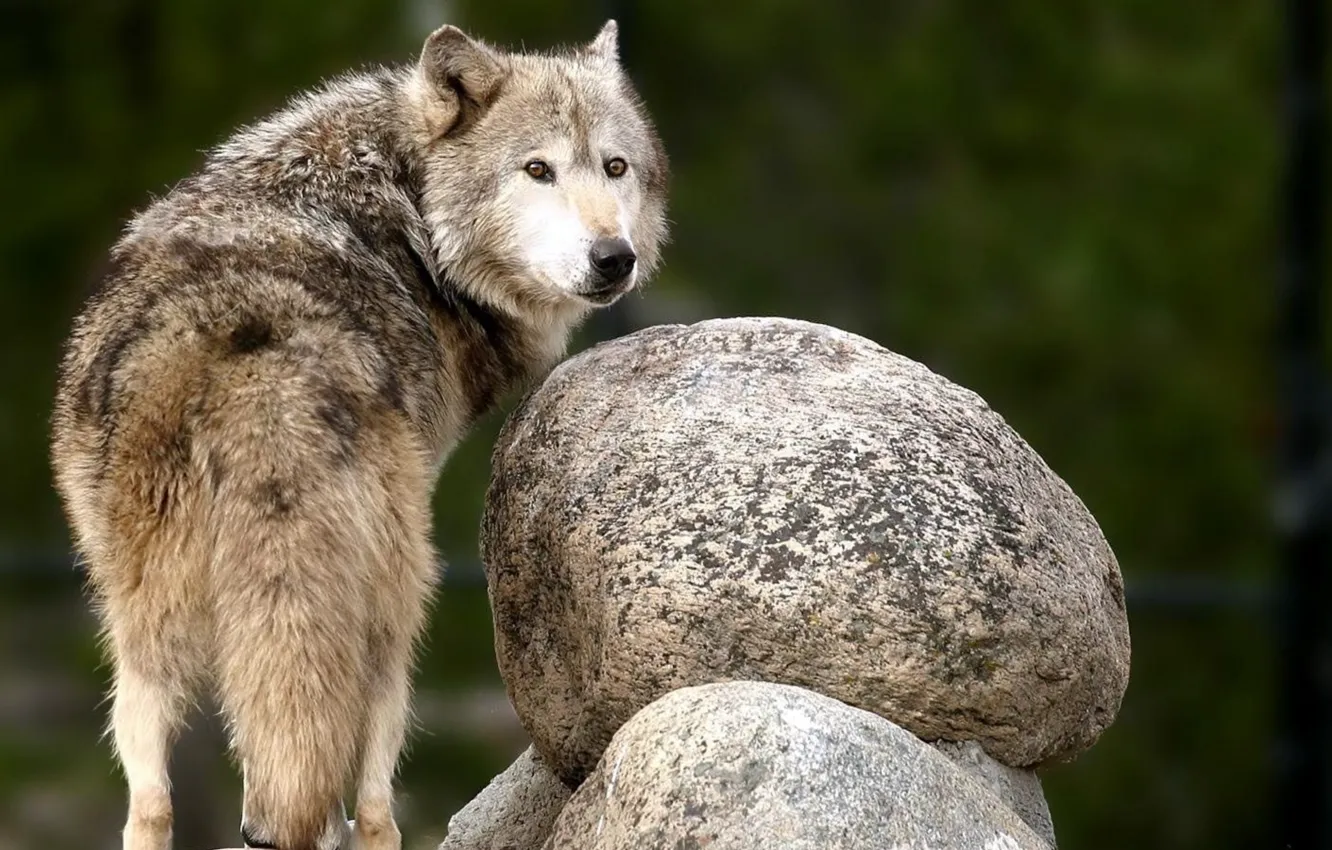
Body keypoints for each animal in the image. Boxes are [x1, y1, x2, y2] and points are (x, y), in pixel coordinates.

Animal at [49, 20, 667, 850]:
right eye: (537, 169)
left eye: (614, 166)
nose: (614, 258)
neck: (407, 202)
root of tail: (260, 355)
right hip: (396, 599)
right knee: (372, 797)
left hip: (139, 622)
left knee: (156, 802)